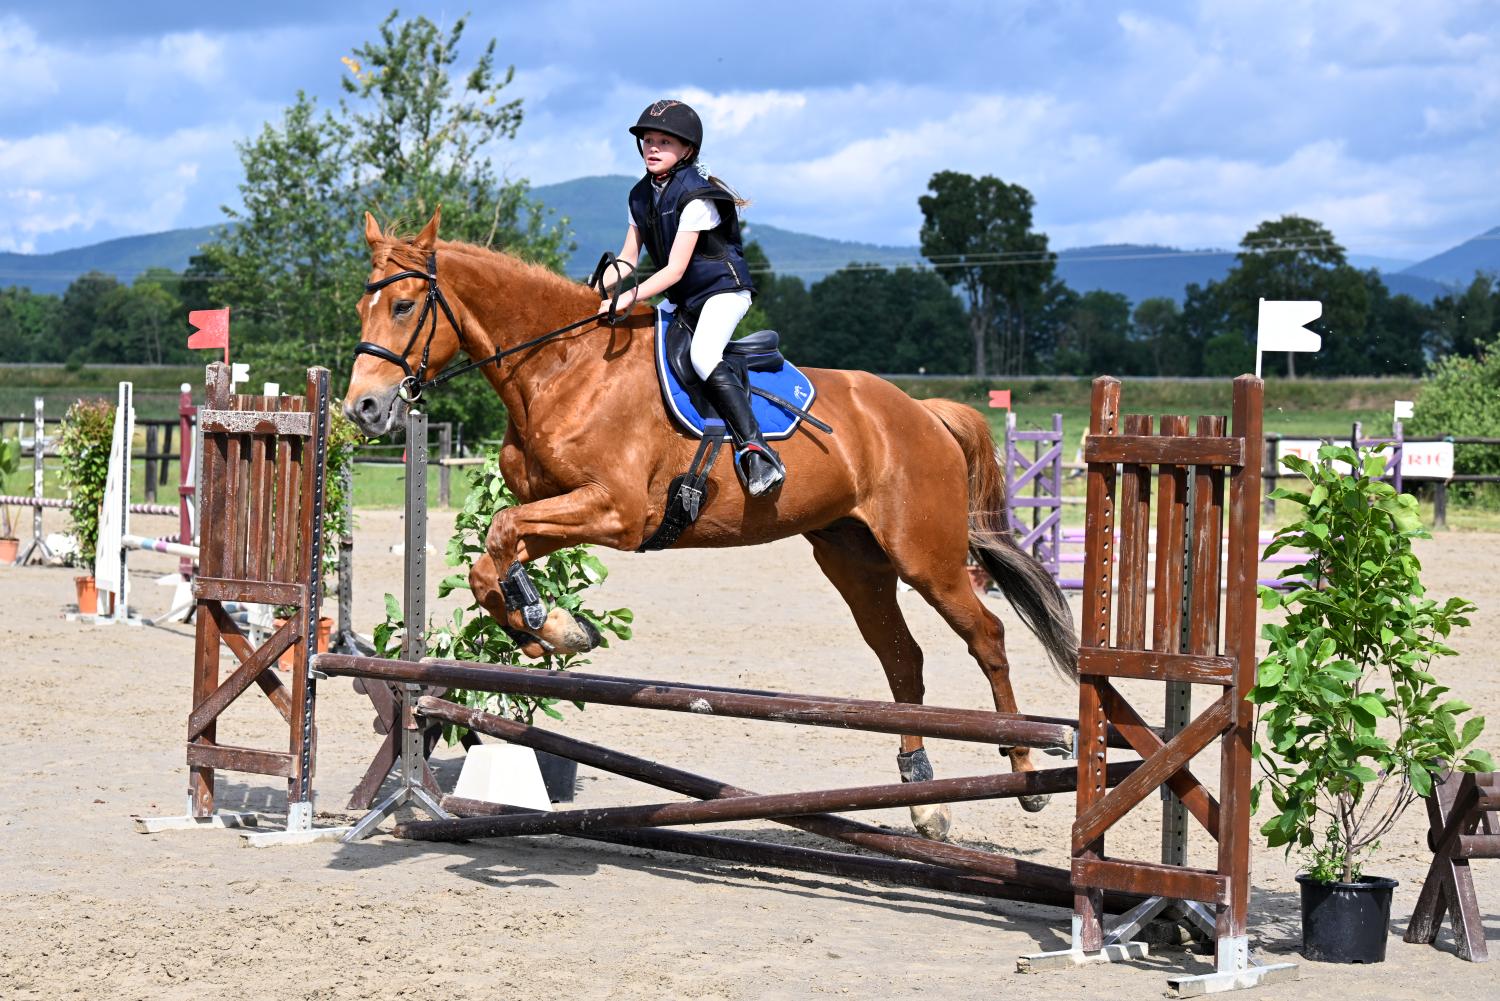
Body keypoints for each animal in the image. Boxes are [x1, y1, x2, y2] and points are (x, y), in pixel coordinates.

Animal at [348, 210, 1080, 840]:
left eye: (405, 306)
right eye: (363, 306)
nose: (363, 408)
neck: (561, 366)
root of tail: (923, 410)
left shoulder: (617, 512)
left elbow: (500, 533)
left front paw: (551, 626)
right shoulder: (562, 506)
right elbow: (491, 557)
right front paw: (547, 628)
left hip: (925, 556)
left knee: (986, 636)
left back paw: (1026, 772)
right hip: (854, 561)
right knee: (903, 658)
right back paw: (924, 798)